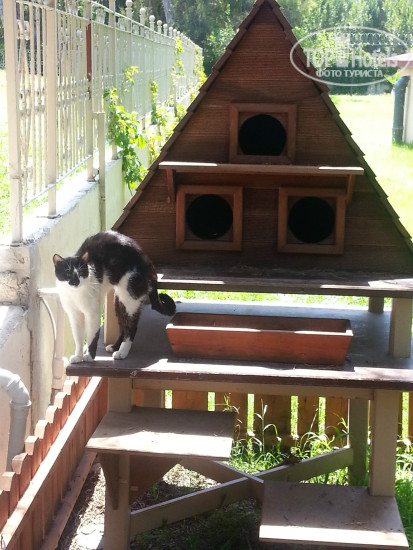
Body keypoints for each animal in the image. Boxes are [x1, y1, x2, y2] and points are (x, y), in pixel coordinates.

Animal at [53, 230, 175, 363]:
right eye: (68, 273)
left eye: (81, 272)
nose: (75, 282)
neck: (75, 293)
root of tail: (147, 260)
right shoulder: (74, 315)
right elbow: (78, 338)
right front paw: (78, 356)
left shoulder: (92, 313)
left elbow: (92, 336)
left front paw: (89, 356)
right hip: (119, 302)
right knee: (123, 326)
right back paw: (115, 347)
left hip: (130, 298)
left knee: (131, 328)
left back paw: (122, 352)